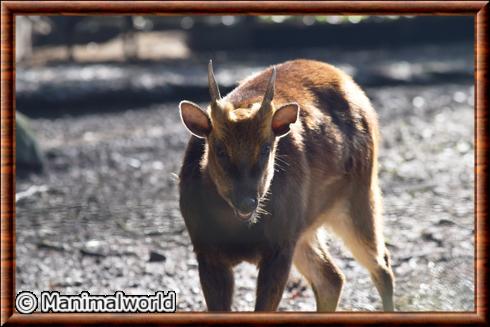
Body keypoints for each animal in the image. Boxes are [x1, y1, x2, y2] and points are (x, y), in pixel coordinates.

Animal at [176, 59, 394, 312]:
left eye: (265, 148)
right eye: (219, 149)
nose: (246, 202)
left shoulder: (280, 245)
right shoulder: (205, 249)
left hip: (359, 193)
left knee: (381, 264)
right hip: (304, 228)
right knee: (332, 278)